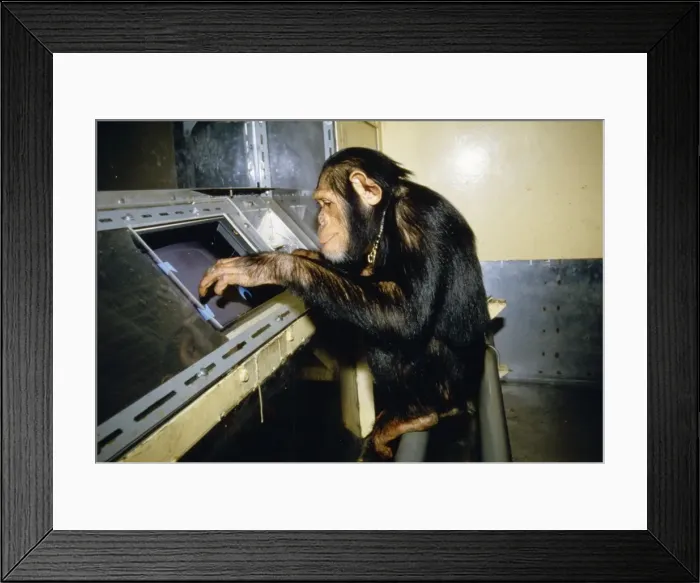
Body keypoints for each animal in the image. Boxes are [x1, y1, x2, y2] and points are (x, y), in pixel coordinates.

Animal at [198, 147, 490, 461]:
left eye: (326, 203)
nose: (321, 222)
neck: (384, 217)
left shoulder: (418, 221)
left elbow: (406, 314)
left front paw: (273, 265)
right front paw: (307, 256)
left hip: (448, 385)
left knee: (389, 339)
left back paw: (416, 415)